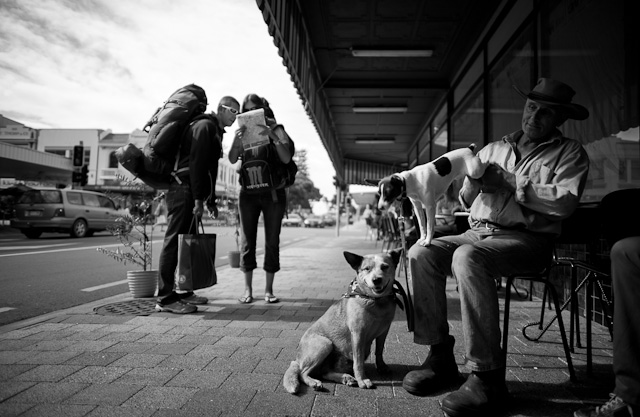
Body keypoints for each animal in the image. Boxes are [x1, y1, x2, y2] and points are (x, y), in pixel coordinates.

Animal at [284, 249, 400, 394]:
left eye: (385, 267)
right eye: (367, 268)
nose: (376, 280)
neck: (375, 301)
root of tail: (297, 359)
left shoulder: (384, 331)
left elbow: (379, 351)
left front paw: (382, 367)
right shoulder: (358, 333)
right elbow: (358, 362)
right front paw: (363, 380)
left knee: (324, 372)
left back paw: (346, 378)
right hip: (325, 343)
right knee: (303, 373)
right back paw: (314, 382)